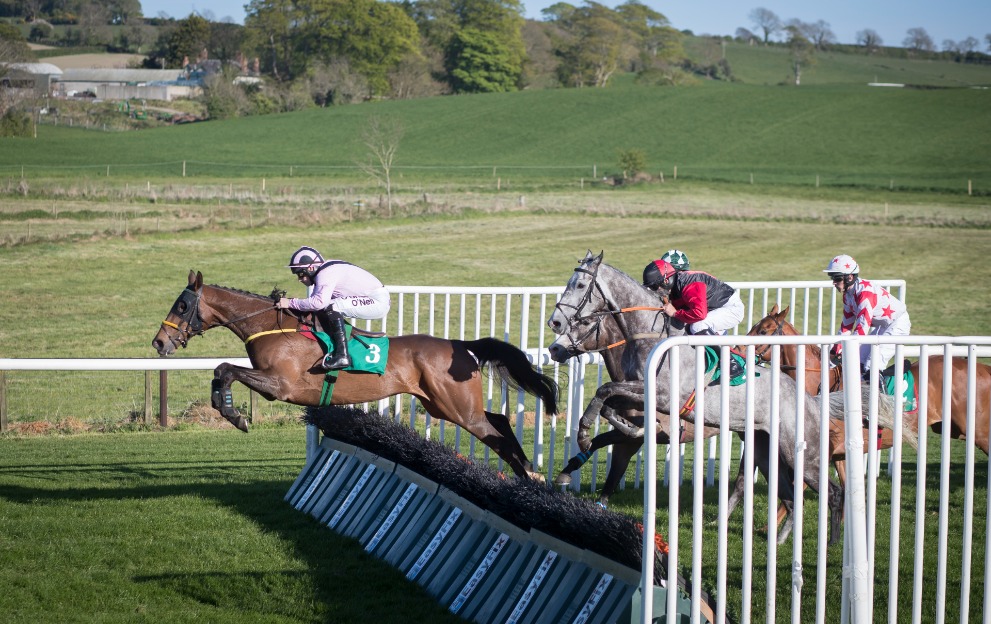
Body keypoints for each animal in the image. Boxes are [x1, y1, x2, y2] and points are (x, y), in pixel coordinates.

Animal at [151, 271, 560, 480]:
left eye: (182, 305)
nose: (159, 342)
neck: (272, 327)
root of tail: (458, 344)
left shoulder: (280, 386)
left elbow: (225, 369)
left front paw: (235, 415)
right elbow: (221, 371)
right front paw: (227, 407)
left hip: (458, 409)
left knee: (495, 430)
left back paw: (530, 474)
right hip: (444, 406)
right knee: (499, 421)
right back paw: (528, 475)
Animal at [545, 252, 915, 545]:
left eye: (580, 285)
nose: (555, 325)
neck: (649, 336)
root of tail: (809, 400)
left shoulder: (665, 396)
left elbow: (605, 396)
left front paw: (584, 435)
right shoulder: (642, 395)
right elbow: (609, 402)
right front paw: (598, 438)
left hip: (801, 453)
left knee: (831, 492)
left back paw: (833, 542)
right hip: (766, 449)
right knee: (789, 497)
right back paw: (778, 540)